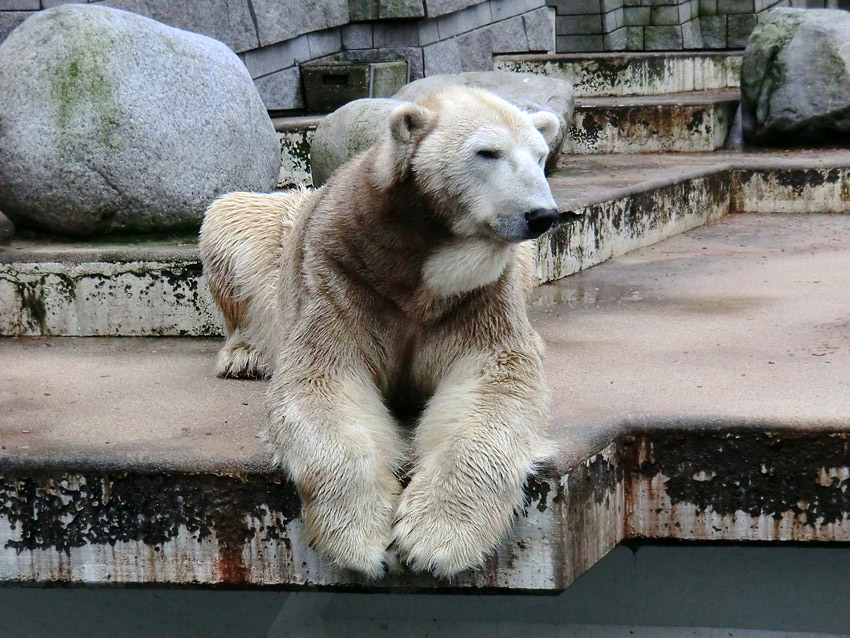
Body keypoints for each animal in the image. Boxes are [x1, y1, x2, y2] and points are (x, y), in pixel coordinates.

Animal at [200, 87, 564, 584]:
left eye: (541, 155)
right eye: (487, 152)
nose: (541, 214)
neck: (412, 269)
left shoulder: (479, 298)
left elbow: (498, 379)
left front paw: (433, 541)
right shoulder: (340, 277)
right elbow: (323, 379)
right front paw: (363, 539)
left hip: (525, 260)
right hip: (275, 236)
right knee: (229, 216)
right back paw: (244, 355)